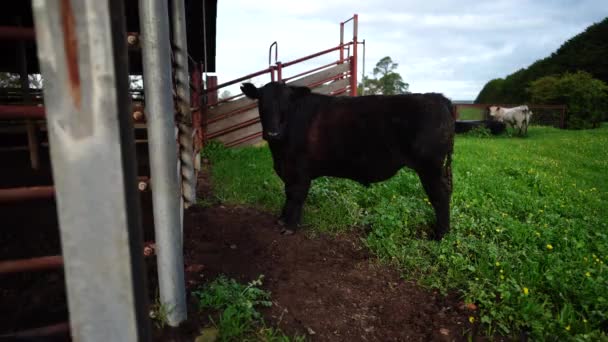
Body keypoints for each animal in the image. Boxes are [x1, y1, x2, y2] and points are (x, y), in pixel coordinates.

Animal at [240, 81, 454, 239]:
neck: (278, 152)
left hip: (430, 167)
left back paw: (440, 235)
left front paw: (290, 226)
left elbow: (295, 195)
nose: (273, 133)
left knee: (440, 196)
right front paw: (282, 219)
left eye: (287, 105)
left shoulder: (300, 171)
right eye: (262, 103)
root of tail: (438, 97)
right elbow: (288, 194)